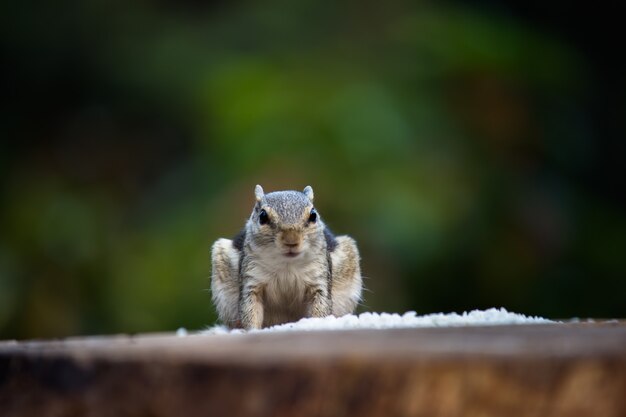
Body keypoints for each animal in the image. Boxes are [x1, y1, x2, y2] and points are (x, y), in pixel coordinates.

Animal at [211, 184, 360, 328]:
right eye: (262, 216)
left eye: (313, 215)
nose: (291, 240)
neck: (287, 264)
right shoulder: (251, 280)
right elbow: (250, 310)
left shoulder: (319, 278)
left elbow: (321, 307)